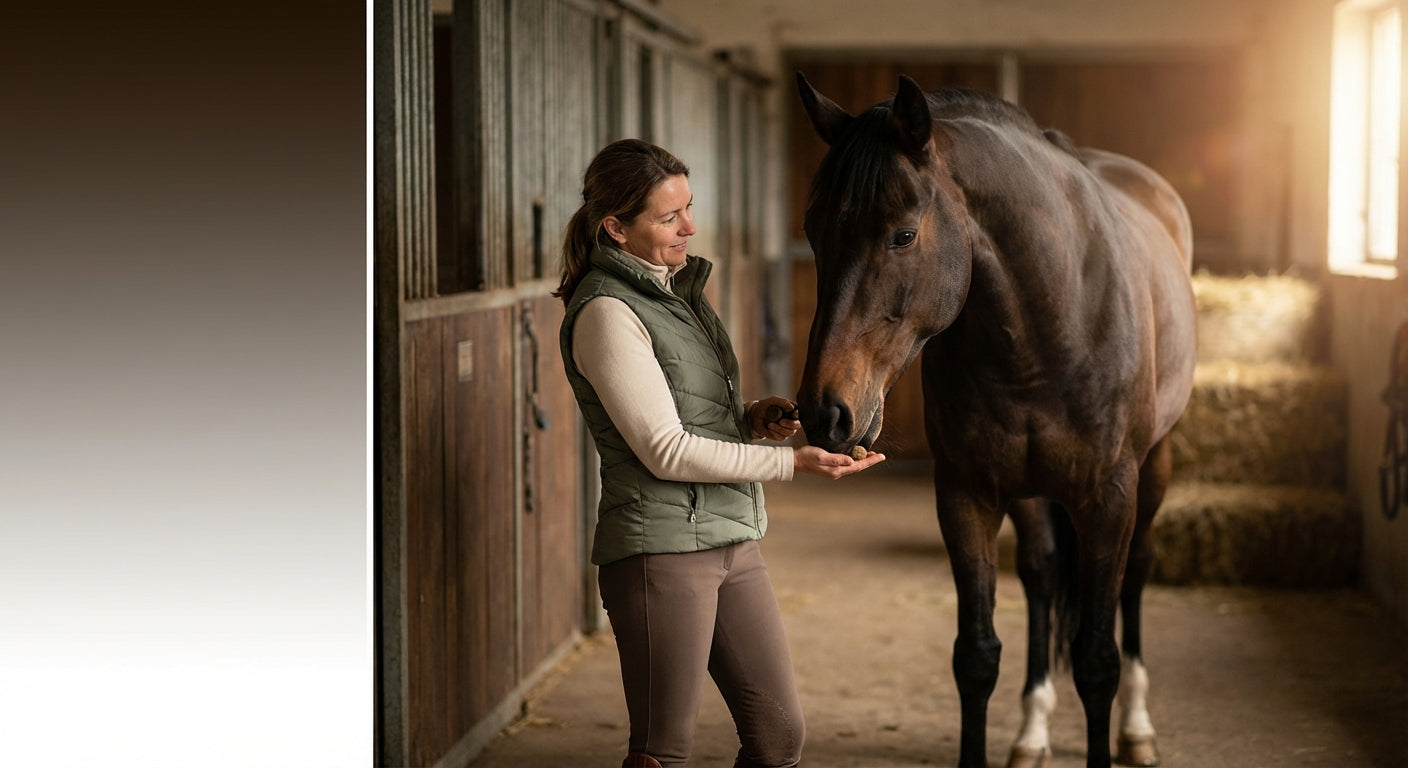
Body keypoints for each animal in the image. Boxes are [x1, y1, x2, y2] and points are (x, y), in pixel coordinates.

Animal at [793, 73, 1196, 768]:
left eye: (903, 235)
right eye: (814, 232)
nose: (826, 411)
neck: (1048, 322)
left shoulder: (1109, 497)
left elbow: (1097, 659)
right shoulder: (967, 494)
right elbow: (976, 656)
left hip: (1155, 466)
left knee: (1138, 571)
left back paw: (1138, 727)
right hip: (1030, 492)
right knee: (1040, 573)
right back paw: (1031, 730)